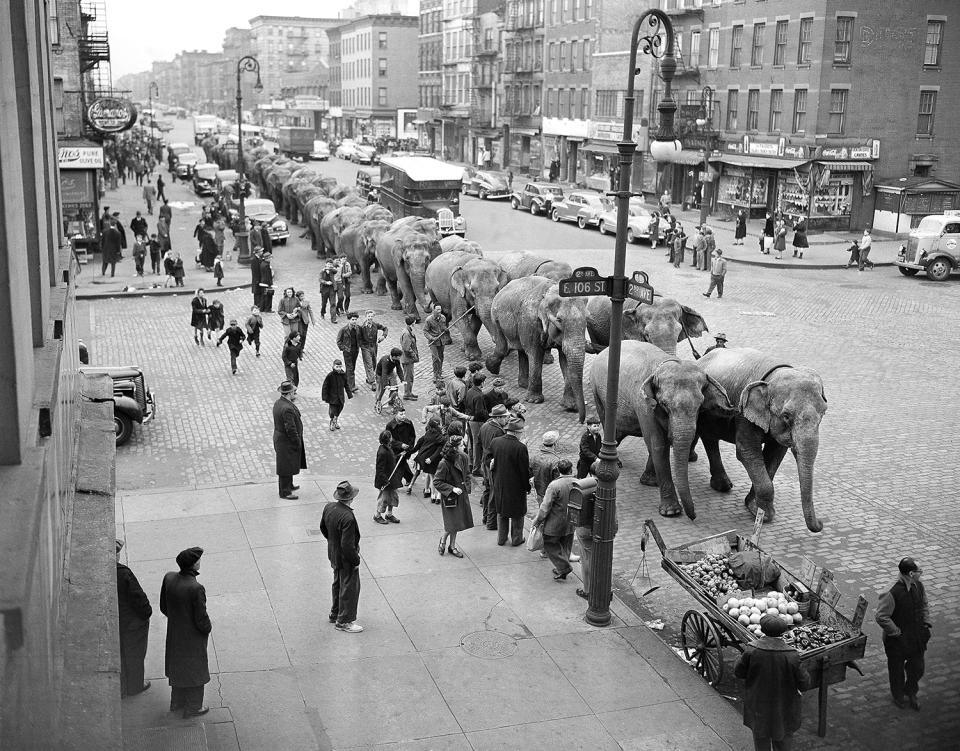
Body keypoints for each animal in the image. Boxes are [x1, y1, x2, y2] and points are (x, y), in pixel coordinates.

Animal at [484, 274, 588, 420]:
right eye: (559, 320)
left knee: (520, 350)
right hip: (496, 318)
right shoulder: (530, 322)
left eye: (587, 319)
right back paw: (491, 368)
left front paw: (569, 406)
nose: (581, 420)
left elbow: (565, 359)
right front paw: (534, 401)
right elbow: (536, 354)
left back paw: (523, 384)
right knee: (503, 348)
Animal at [584, 344, 736, 520]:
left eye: (700, 405)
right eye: (664, 404)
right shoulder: (643, 405)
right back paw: (616, 462)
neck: (665, 363)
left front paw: (650, 482)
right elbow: (658, 444)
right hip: (597, 392)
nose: (693, 517)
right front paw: (671, 512)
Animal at [692, 348, 828, 536]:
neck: (772, 378)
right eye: (786, 416)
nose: (822, 522)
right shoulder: (743, 412)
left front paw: (755, 507)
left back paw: (722, 485)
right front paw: (763, 515)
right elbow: (747, 452)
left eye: (824, 413)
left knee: (709, 437)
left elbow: (775, 454)